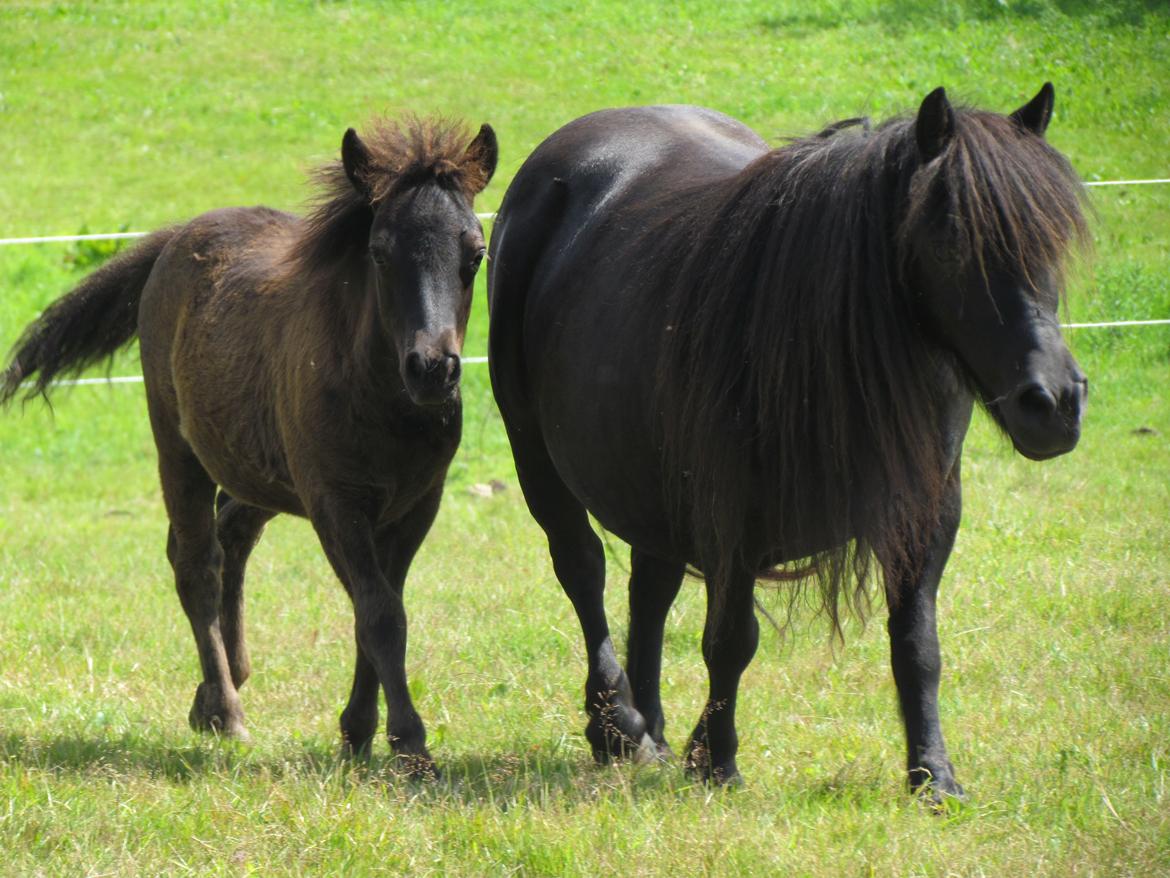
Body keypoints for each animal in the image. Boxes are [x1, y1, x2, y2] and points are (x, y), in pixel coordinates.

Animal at [3, 115, 498, 777]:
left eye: (475, 253)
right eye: (379, 252)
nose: (431, 369)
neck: (382, 399)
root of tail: (174, 238)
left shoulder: (417, 504)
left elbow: (377, 608)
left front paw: (359, 731)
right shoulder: (335, 504)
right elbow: (379, 613)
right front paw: (410, 746)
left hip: (258, 471)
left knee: (230, 539)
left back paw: (216, 692)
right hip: (178, 448)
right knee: (196, 563)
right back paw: (227, 710)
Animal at [484, 87, 1085, 796]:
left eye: (1052, 238)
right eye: (949, 242)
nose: (1053, 404)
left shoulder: (927, 510)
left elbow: (917, 643)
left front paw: (933, 776)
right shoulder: (736, 515)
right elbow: (731, 641)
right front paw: (717, 760)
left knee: (649, 590)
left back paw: (651, 730)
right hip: (538, 455)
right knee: (583, 570)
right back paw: (618, 725)